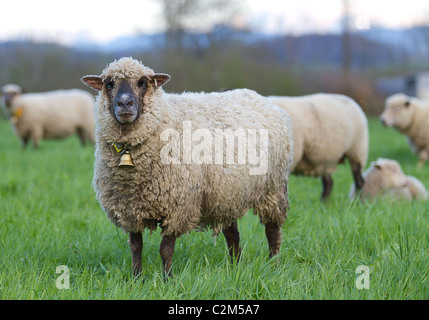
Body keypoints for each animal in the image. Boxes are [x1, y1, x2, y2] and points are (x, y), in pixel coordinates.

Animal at [81, 57, 292, 280]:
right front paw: (137, 278)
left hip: (273, 188)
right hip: (227, 193)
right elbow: (135, 247)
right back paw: (235, 266)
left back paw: (274, 264)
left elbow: (165, 249)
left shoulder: (178, 206)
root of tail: (257, 96)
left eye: (143, 82)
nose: (124, 103)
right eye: (109, 83)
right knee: (232, 234)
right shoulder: (130, 208)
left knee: (272, 230)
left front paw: (168, 280)